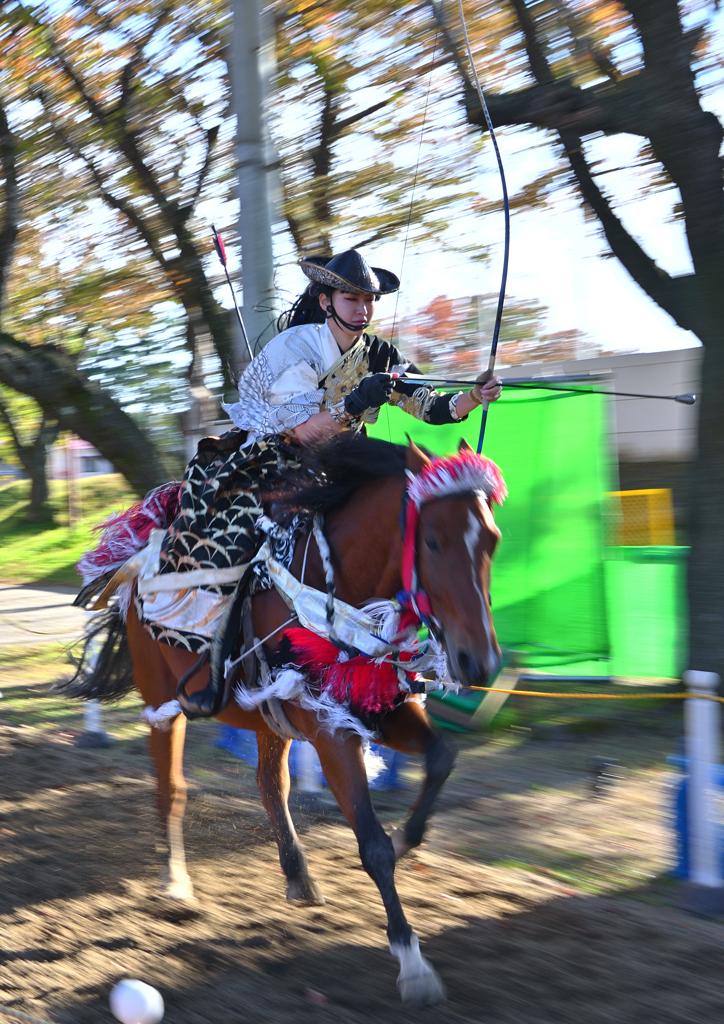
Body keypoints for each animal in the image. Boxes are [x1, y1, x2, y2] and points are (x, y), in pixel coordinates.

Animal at [72, 430, 503, 999]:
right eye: (433, 542)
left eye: (492, 540)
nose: (481, 661)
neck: (333, 584)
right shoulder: (330, 731)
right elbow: (372, 845)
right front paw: (411, 960)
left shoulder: (378, 707)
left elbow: (441, 758)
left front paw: (409, 838)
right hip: (160, 697)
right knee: (171, 787)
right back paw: (176, 882)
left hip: (268, 716)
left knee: (270, 783)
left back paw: (297, 873)